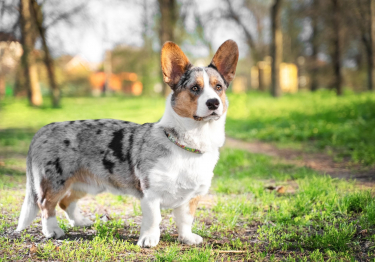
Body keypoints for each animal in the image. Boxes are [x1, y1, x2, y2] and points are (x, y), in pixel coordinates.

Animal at [16, 39, 239, 248]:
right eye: (195, 88)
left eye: (218, 87)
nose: (213, 103)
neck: (188, 143)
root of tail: (42, 131)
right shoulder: (151, 195)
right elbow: (154, 219)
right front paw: (148, 240)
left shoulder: (191, 197)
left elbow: (185, 221)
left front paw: (187, 238)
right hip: (55, 183)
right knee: (47, 205)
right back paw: (52, 231)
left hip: (86, 184)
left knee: (66, 202)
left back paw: (80, 222)